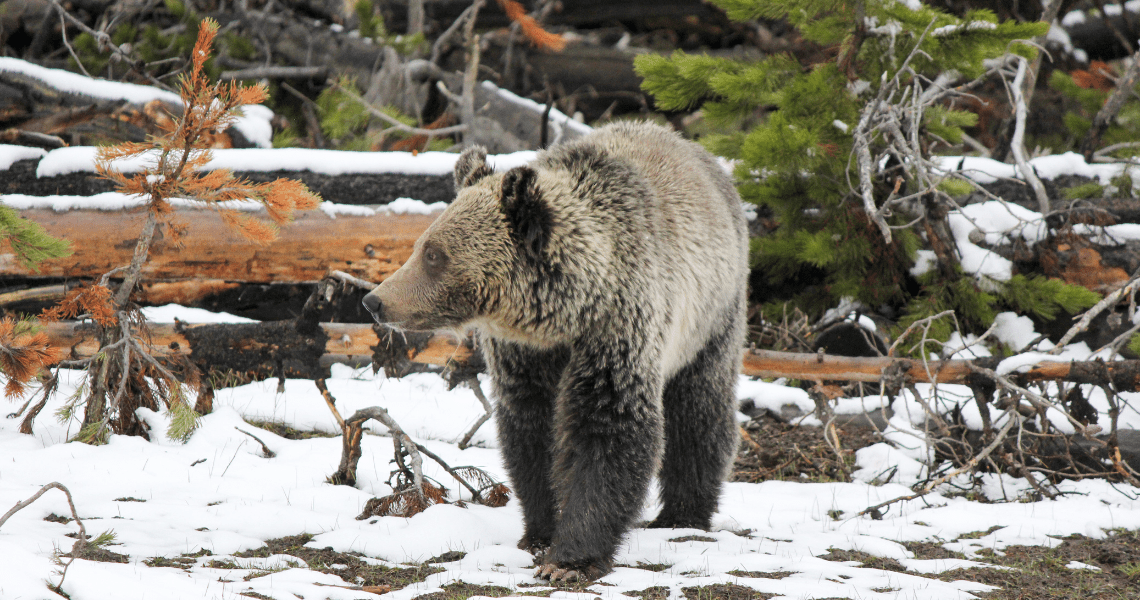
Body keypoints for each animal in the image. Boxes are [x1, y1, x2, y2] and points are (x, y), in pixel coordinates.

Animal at [362, 121, 748, 582]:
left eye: (434, 254)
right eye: (423, 244)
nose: (375, 300)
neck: (565, 313)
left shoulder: (617, 331)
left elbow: (609, 429)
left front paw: (571, 559)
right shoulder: (525, 355)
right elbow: (531, 434)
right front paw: (540, 533)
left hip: (712, 316)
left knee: (700, 411)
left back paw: (684, 513)